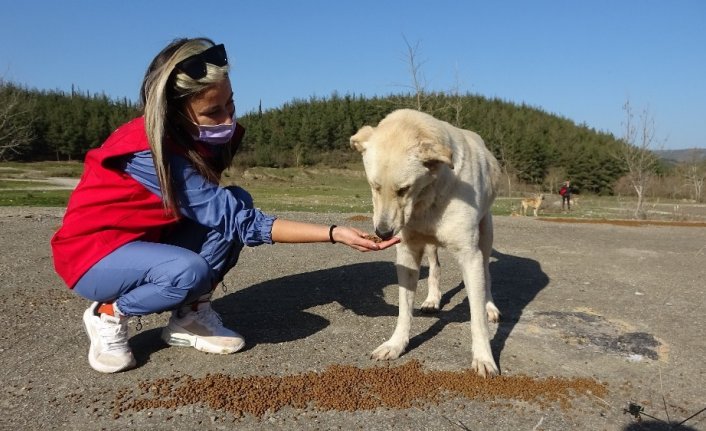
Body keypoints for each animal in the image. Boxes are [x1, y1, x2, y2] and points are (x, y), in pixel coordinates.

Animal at [350, 109, 500, 378]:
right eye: (374, 186)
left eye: (404, 189)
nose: (383, 233)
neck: (428, 196)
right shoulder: (408, 252)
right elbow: (403, 309)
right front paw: (396, 344)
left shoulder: (469, 256)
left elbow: (477, 319)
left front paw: (484, 357)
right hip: (429, 245)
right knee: (435, 268)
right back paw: (432, 299)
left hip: (485, 236)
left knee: (487, 273)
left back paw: (490, 306)